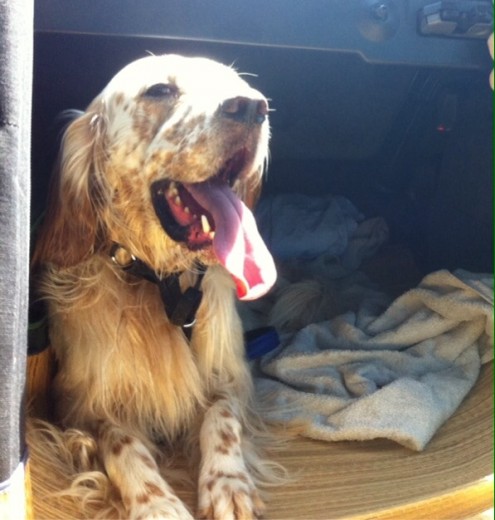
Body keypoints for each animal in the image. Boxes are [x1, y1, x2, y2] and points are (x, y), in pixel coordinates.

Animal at [30, 54, 280, 516]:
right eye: (160, 90)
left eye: (234, 83)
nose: (253, 106)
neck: (164, 285)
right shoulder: (82, 403)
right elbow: (122, 444)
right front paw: (158, 504)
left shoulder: (228, 375)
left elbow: (221, 418)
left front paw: (227, 483)